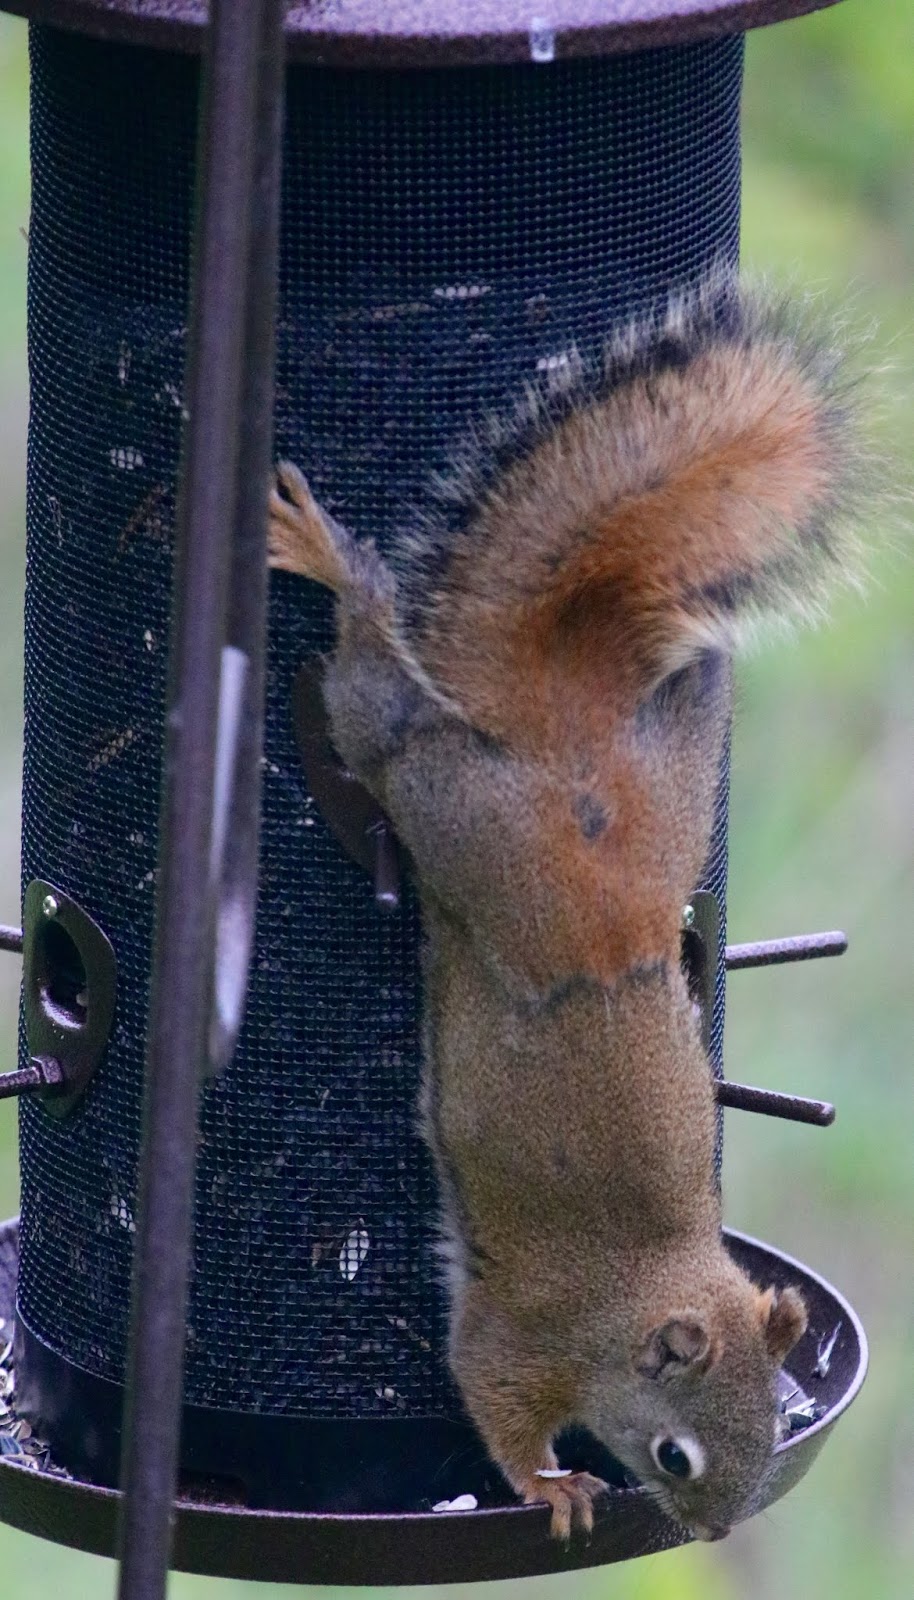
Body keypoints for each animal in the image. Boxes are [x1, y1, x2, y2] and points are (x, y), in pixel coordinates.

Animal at [268, 273, 861, 1543]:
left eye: (777, 1423)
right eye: (678, 1453)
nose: (711, 1530)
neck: (642, 1288)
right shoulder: (523, 1327)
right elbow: (489, 1392)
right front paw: (548, 1483)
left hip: (666, 798)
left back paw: (704, 661)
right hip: (459, 818)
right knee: (383, 708)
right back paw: (331, 563)